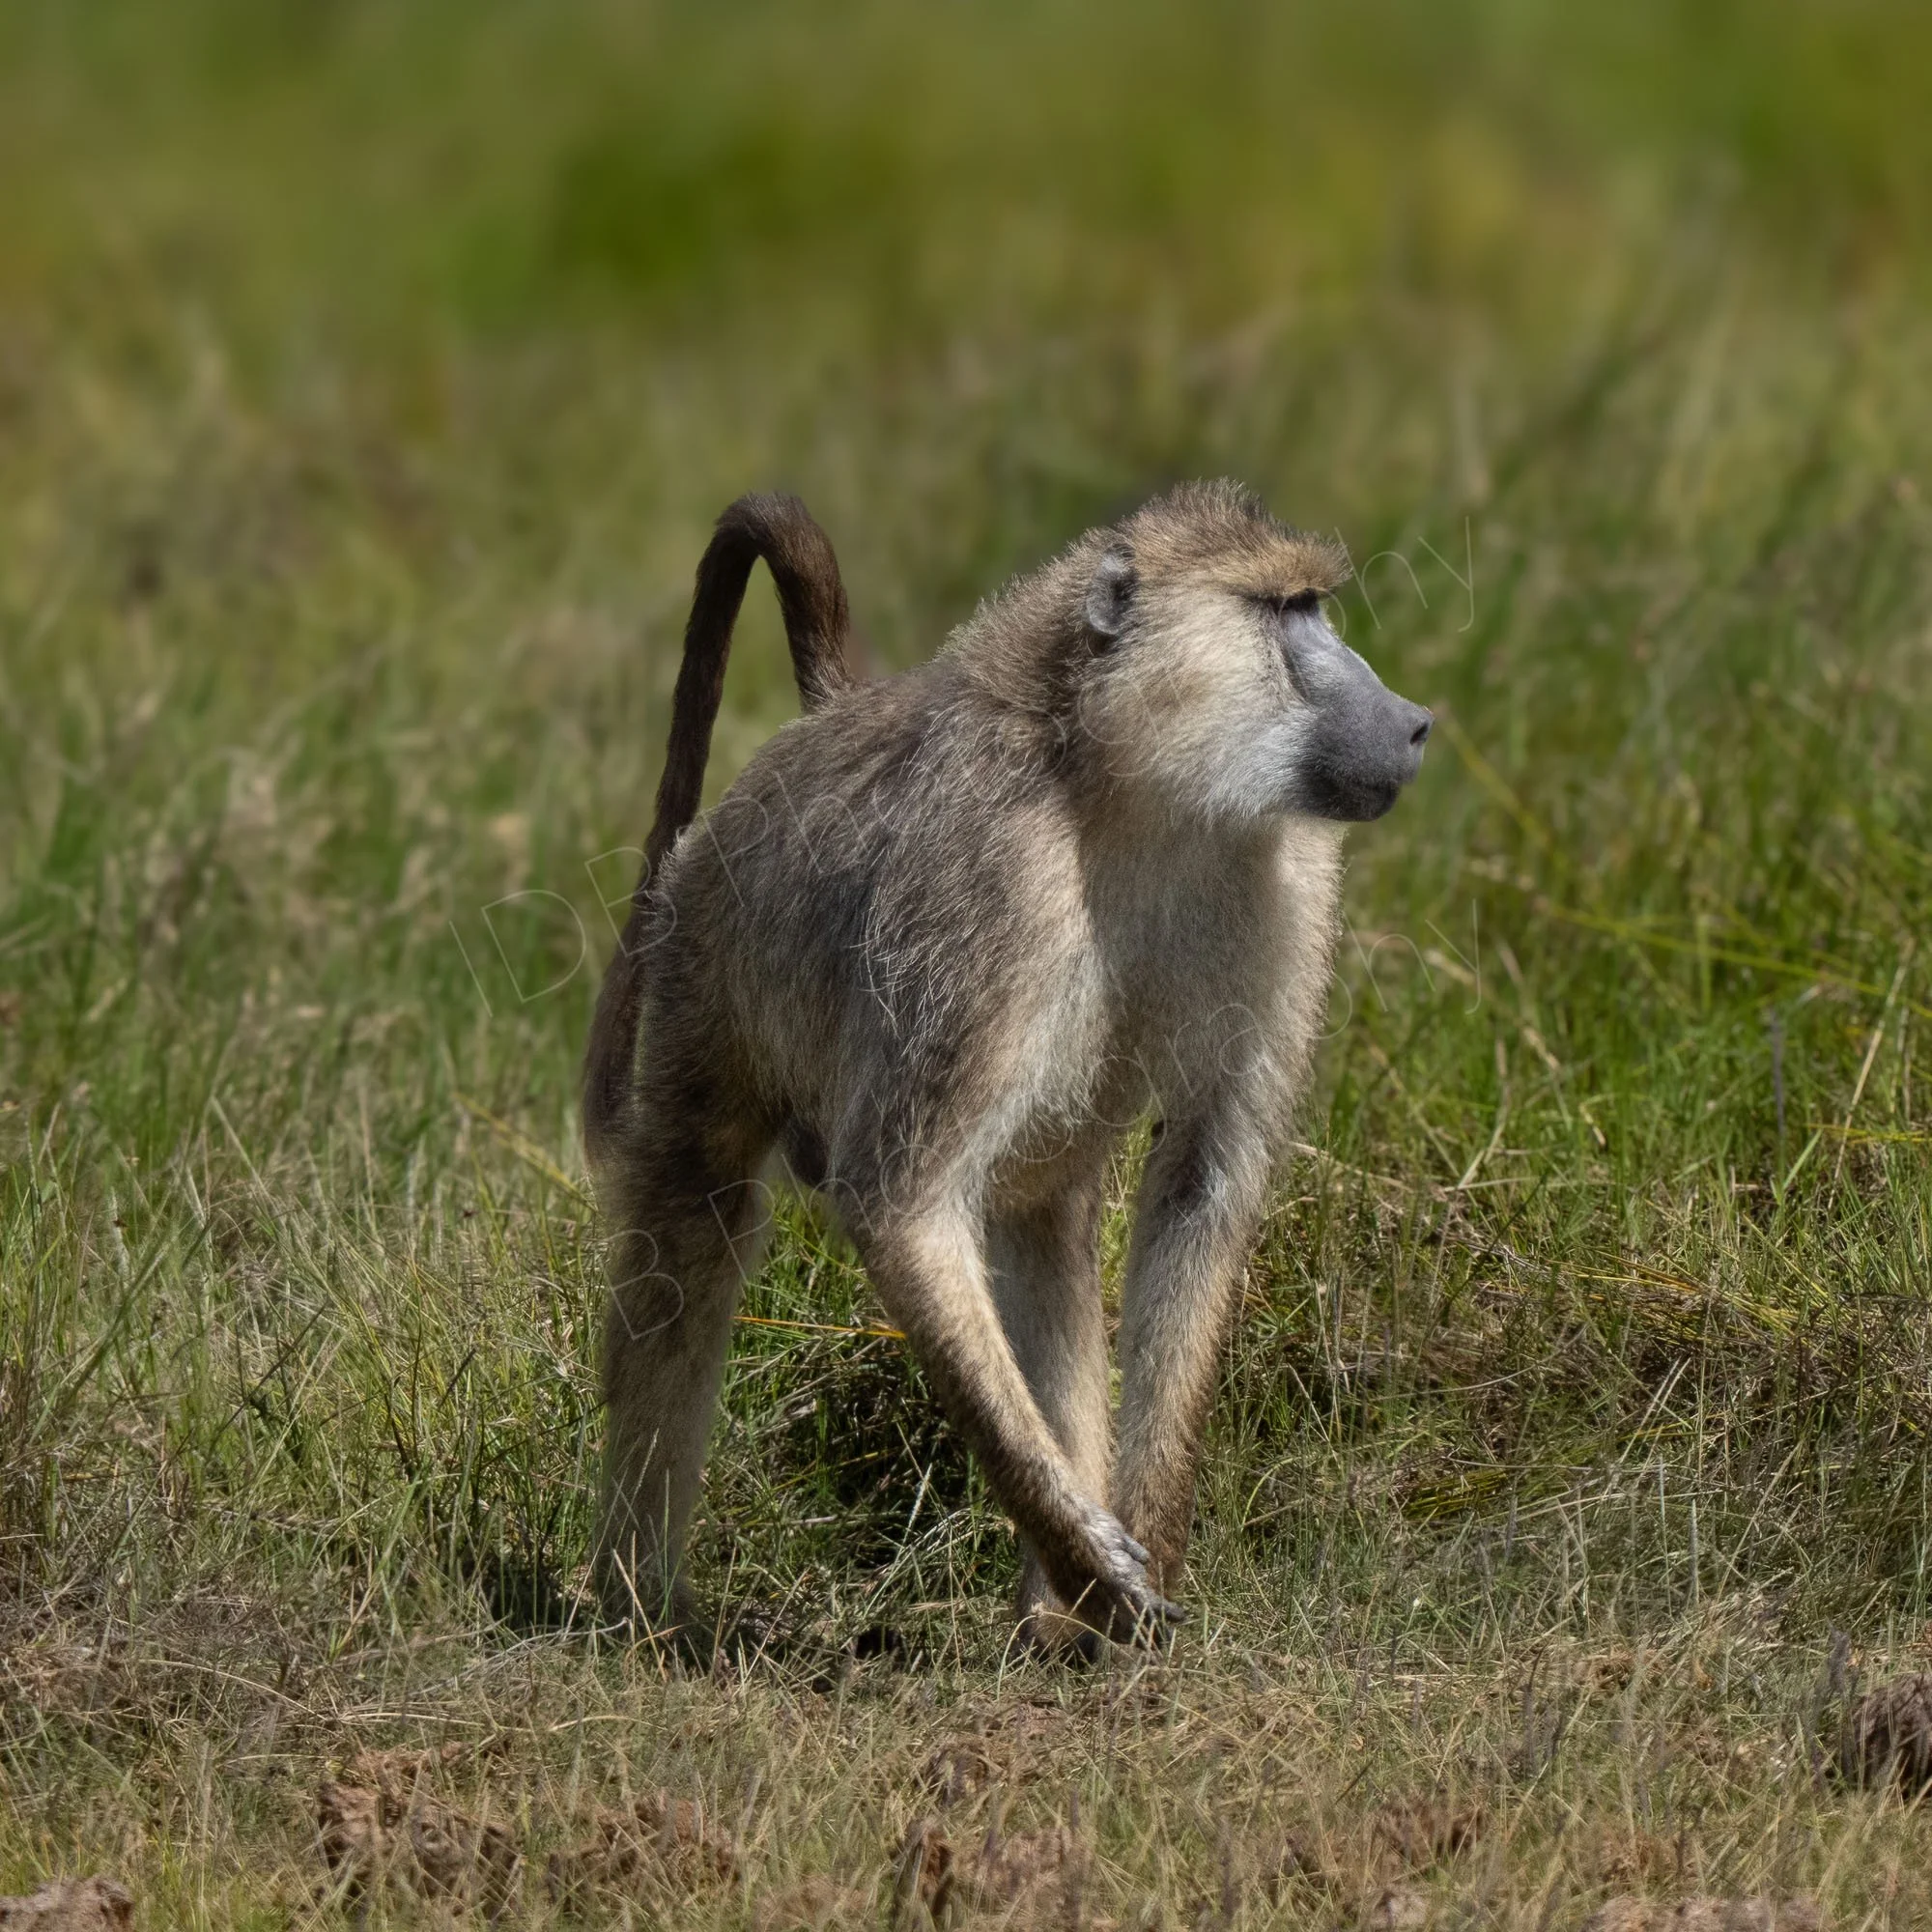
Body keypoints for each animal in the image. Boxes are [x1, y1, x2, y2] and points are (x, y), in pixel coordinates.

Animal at [583, 482, 1431, 1653]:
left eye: (1313, 604)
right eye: (1282, 611)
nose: (1413, 721)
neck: (1134, 791)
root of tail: (813, 731)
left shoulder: (1289, 876)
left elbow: (1202, 1183)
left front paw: (1136, 1558)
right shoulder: (993, 879)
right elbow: (901, 1201)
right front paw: (1097, 1567)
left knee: (1038, 1218)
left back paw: (1044, 1622)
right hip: (704, 947)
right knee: (694, 1209)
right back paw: (642, 1608)